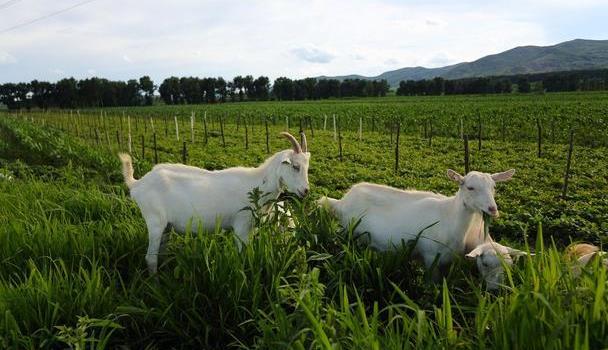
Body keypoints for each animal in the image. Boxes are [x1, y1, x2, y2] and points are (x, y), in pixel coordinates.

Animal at [118, 133, 312, 272]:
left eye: (307, 167)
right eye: (295, 166)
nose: (305, 191)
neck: (258, 184)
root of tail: (137, 184)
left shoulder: (250, 228)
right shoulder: (241, 226)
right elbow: (242, 256)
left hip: (166, 226)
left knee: (161, 252)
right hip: (154, 221)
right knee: (151, 258)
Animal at [320, 168, 516, 280]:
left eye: (494, 187)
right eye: (470, 187)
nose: (492, 209)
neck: (450, 216)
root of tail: (342, 201)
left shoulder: (449, 260)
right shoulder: (431, 258)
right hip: (348, 232)